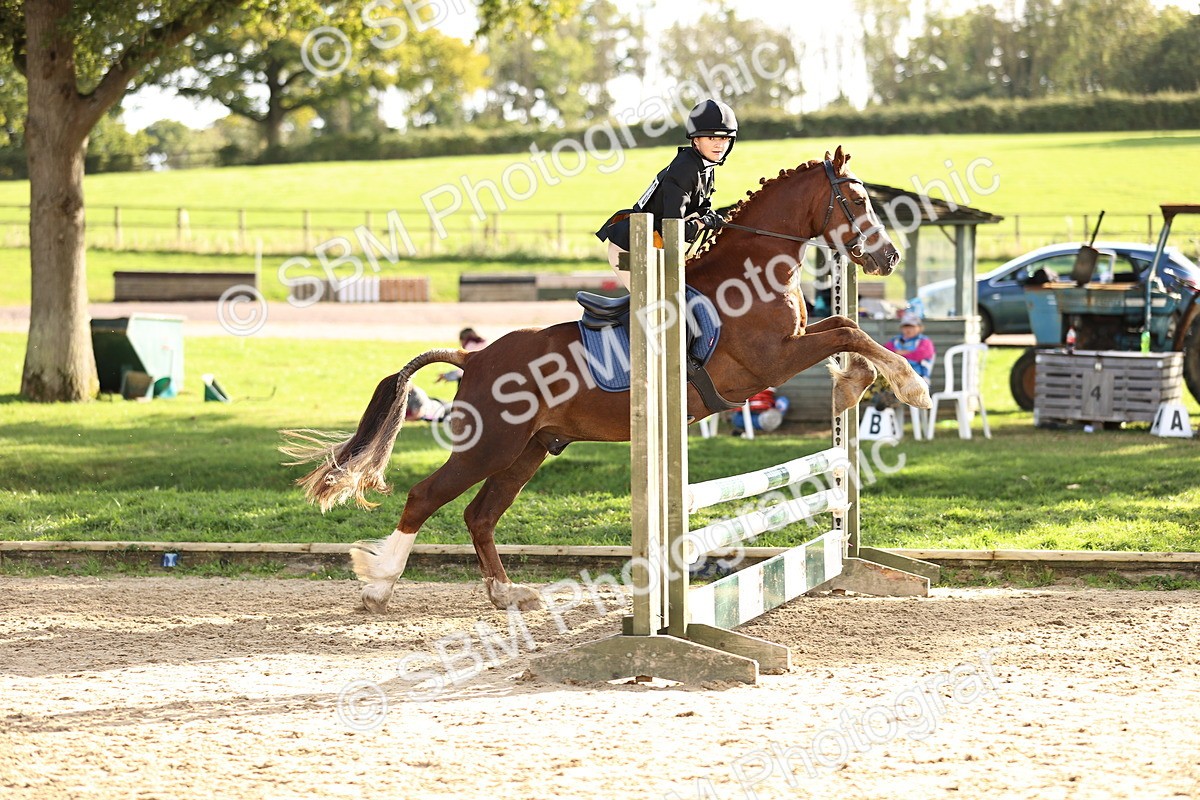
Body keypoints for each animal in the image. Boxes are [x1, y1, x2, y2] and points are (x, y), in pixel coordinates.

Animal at [281, 146, 931, 614]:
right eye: (857, 199)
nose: (889, 259)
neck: (754, 269)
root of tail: (476, 358)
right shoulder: (770, 360)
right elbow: (847, 329)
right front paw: (910, 386)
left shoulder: (789, 348)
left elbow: (844, 328)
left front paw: (858, 386)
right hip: (490, 444)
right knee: (426, 497)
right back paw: (379, 585)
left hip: (528, 449)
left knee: (480, 515)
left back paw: (507, 594)